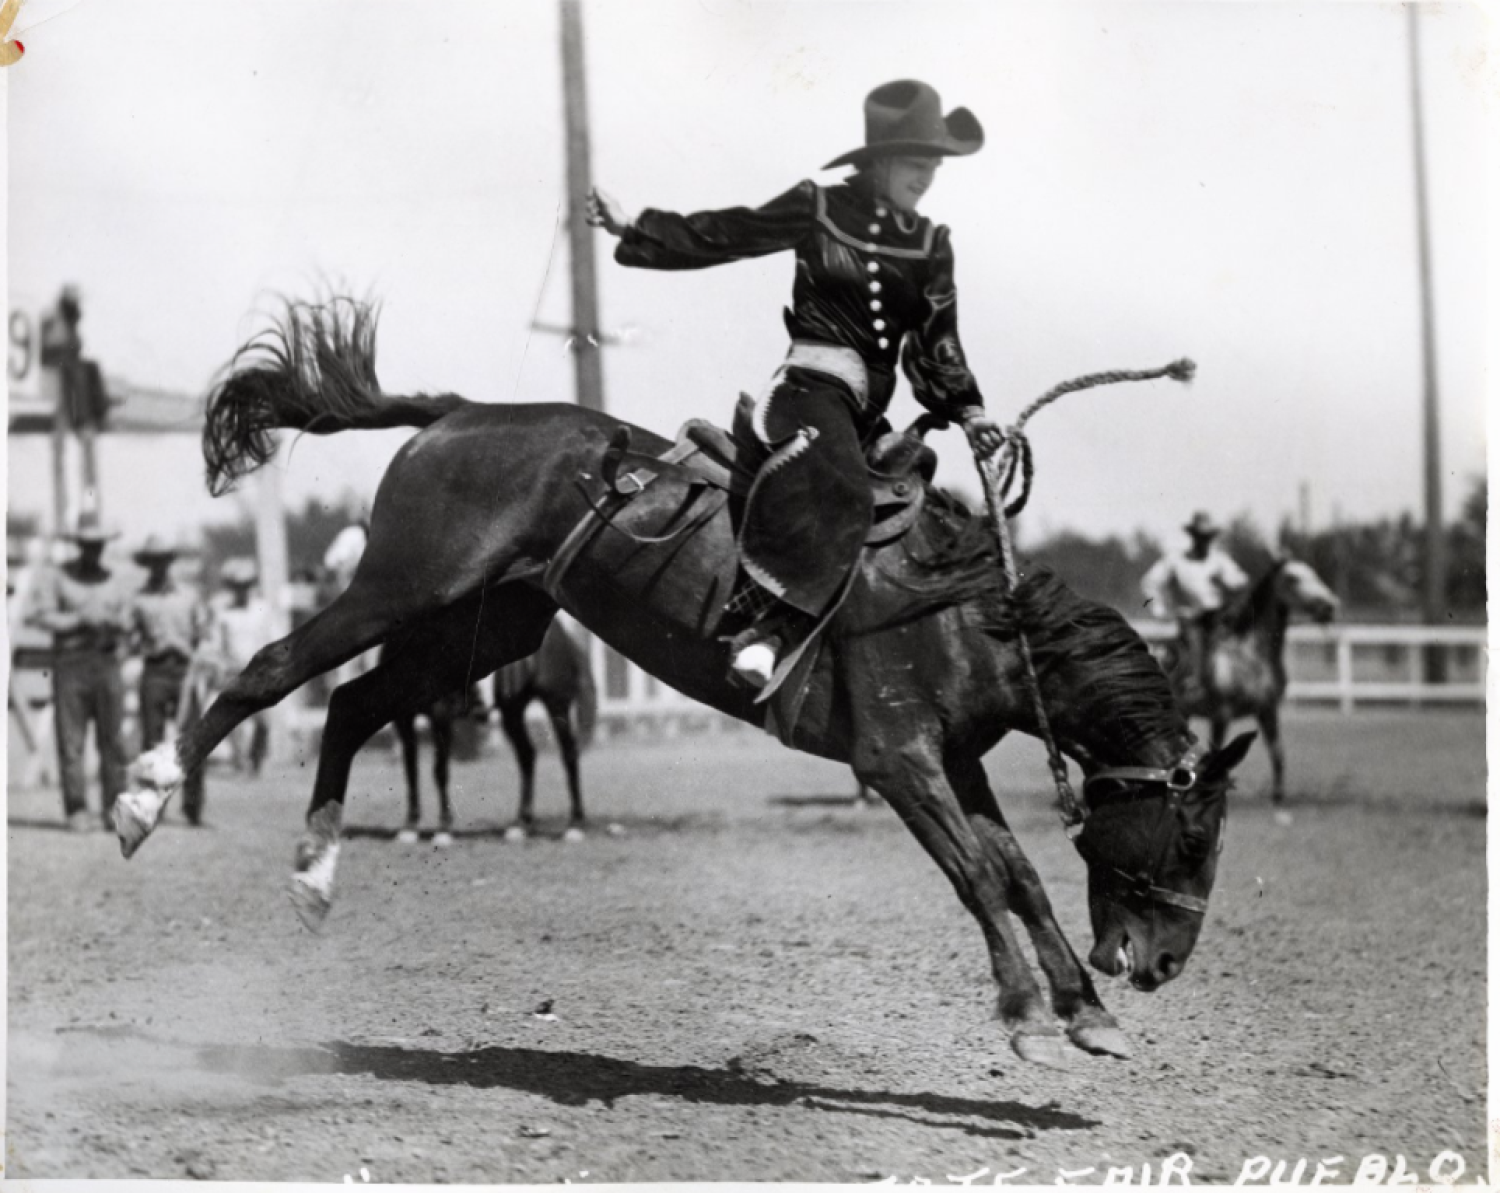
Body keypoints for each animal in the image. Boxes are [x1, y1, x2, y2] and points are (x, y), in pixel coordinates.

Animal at [111, 301, 1254, 1074]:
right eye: (1194, 837)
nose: (1161, 963)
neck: (963, 606)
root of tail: (460, 411)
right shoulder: (897, 760)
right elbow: (977, 873)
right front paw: (1026, 1015)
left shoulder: (955, 759)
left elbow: (1016, 871)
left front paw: (1085, 1012)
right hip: (403, 582)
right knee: (272, 673)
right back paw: (145, 794)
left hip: (476, 628)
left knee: (349, 704)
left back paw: (313, 877)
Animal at [1152, 561, 1344, 804]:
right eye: (1293, 578)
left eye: (1313, 572)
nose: (1329, 606)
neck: (1250, 655)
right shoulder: (1221, 715)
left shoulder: (1267, 710)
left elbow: (1277, 754)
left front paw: (1278, 799)